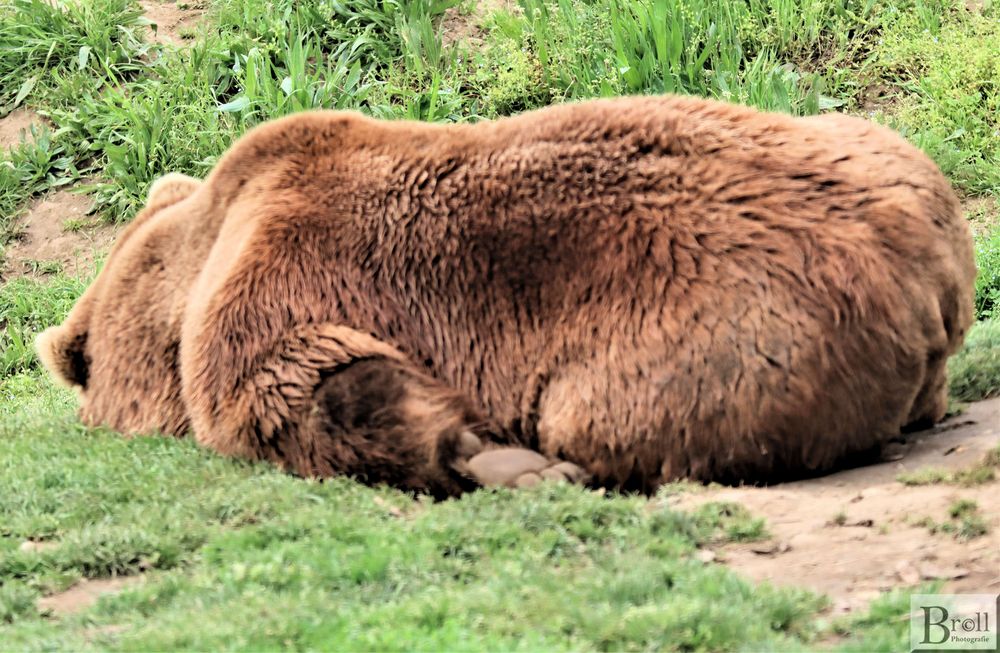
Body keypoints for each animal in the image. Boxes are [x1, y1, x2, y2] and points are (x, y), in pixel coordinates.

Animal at [37, 95, 976, 494]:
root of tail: (929, 274)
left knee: (608, 413)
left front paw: (490, 455)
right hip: (876, 145)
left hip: (725, 329)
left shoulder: (271, 273)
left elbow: (289, 388)